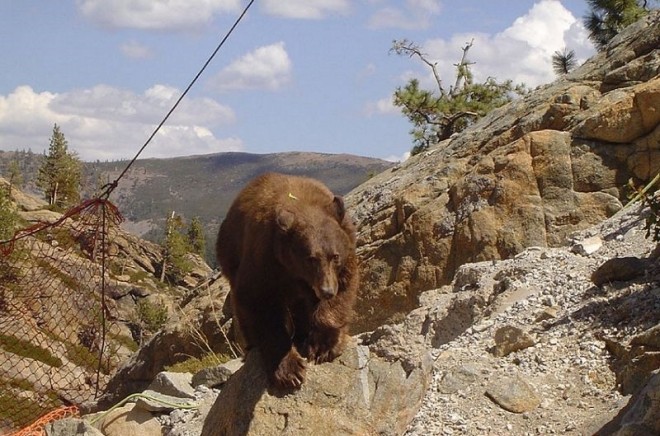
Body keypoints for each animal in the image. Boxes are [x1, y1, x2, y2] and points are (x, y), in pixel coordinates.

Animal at [215, 172, 360, 390]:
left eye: (335, 256)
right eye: (311, 258)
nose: (326, 291)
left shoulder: (346, 248)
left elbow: (342, 290)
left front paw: (323, 345)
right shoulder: (264, 259)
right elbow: (259, 303)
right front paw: (289, 370)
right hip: (230, 255)